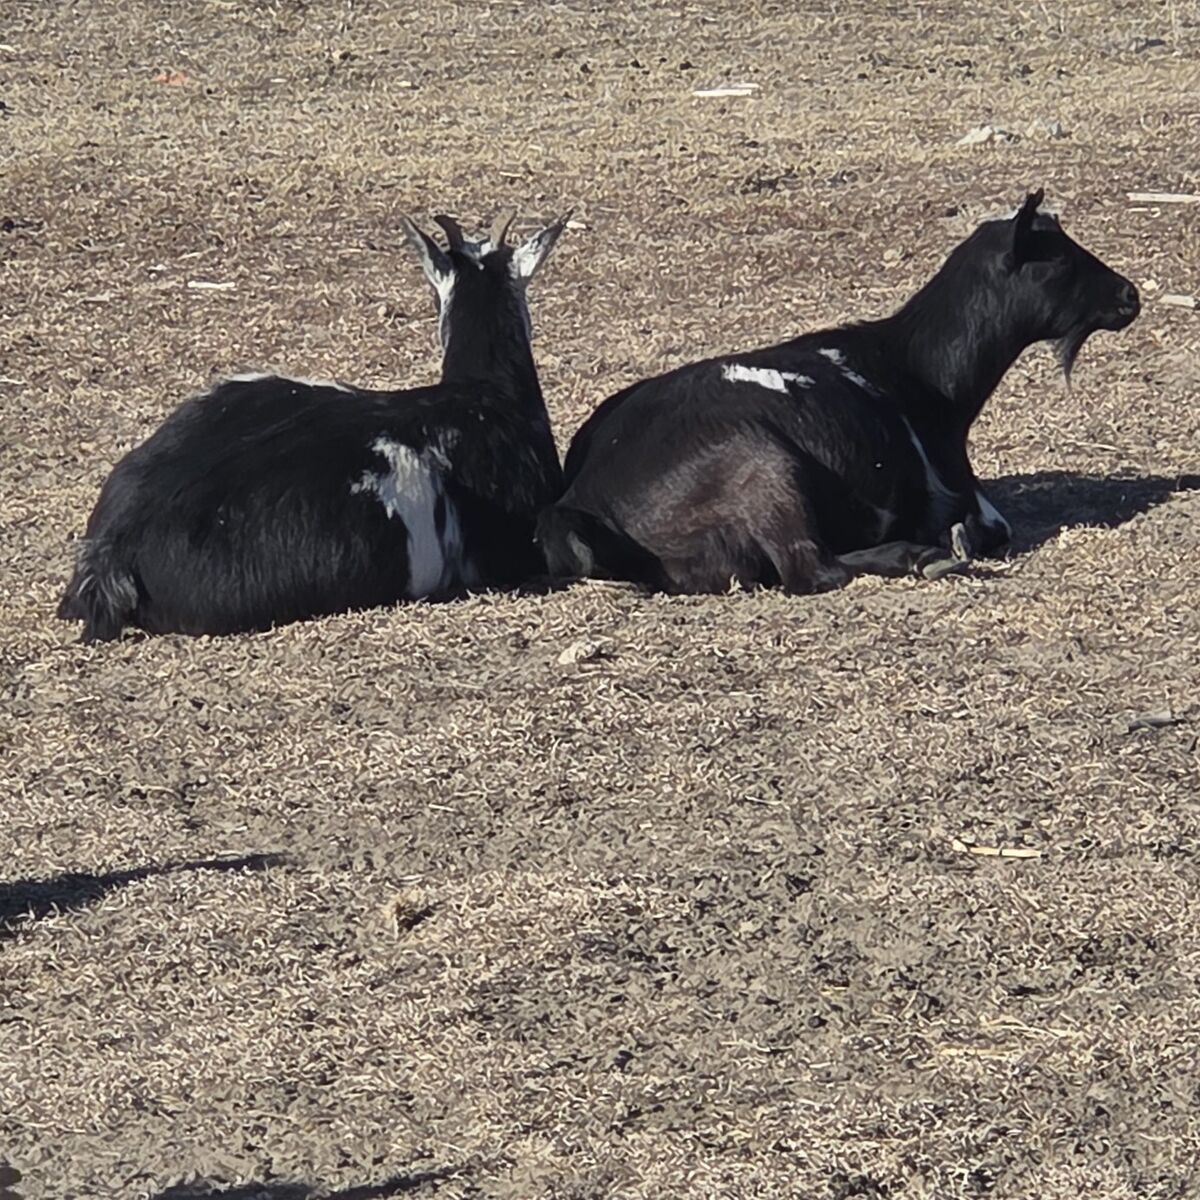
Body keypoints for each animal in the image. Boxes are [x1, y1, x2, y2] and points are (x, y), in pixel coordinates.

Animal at [539, 190, 1139, 594]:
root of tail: (583, 500)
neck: (912, 369)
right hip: (766, 469)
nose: (1129, 295)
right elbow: (989, 526)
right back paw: (921, 556)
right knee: (811, 569)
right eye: (1058, 258)